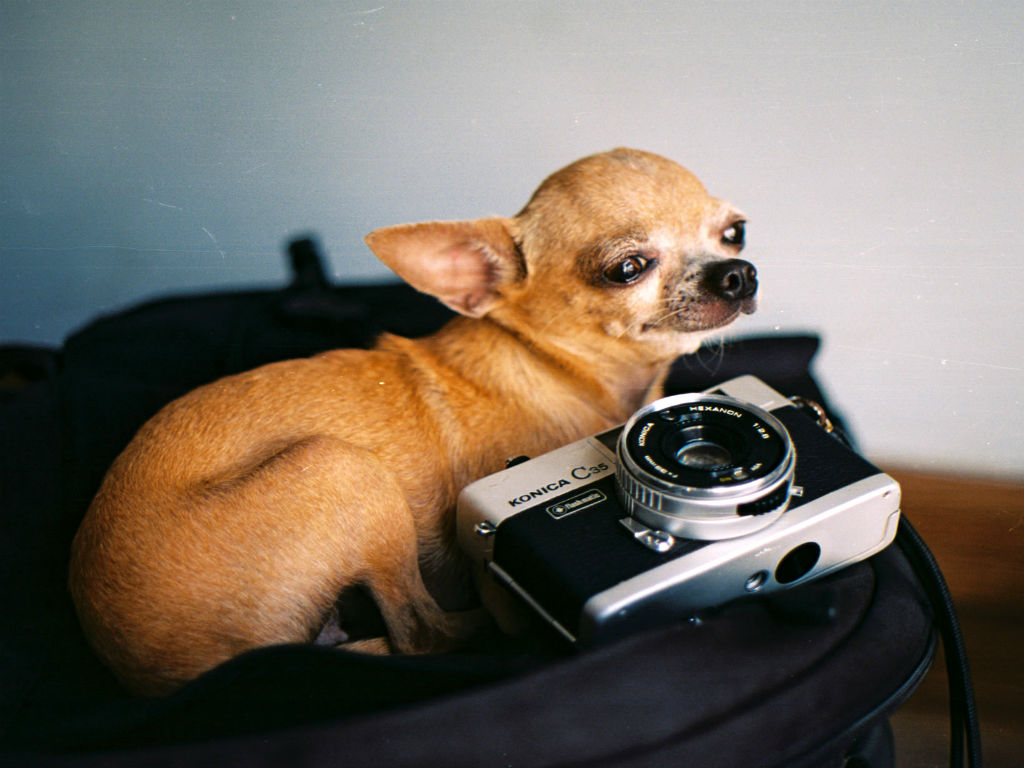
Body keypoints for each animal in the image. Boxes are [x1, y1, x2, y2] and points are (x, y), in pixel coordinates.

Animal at [68, 148, 757, 696]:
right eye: (627, 268)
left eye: (736, 232)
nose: (739, 273)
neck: (559, 367)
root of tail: (180, 679)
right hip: (339, 468)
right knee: (422, 635)